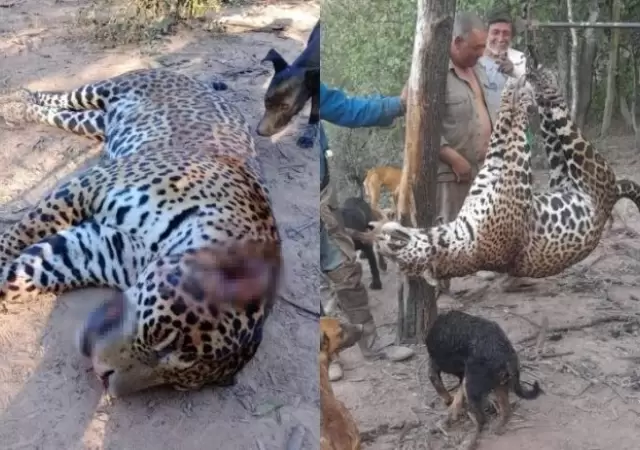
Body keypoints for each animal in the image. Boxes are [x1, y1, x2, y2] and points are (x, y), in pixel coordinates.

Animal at [428, 312, 544, 448]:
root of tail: (506, 355)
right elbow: (456, 398)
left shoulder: (439, 365)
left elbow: (439, 385)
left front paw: (449, 404)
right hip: (499, 386)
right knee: (506, 411)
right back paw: (497, 429)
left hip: (473, 386)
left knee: (482, 420)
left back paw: (470, 440)